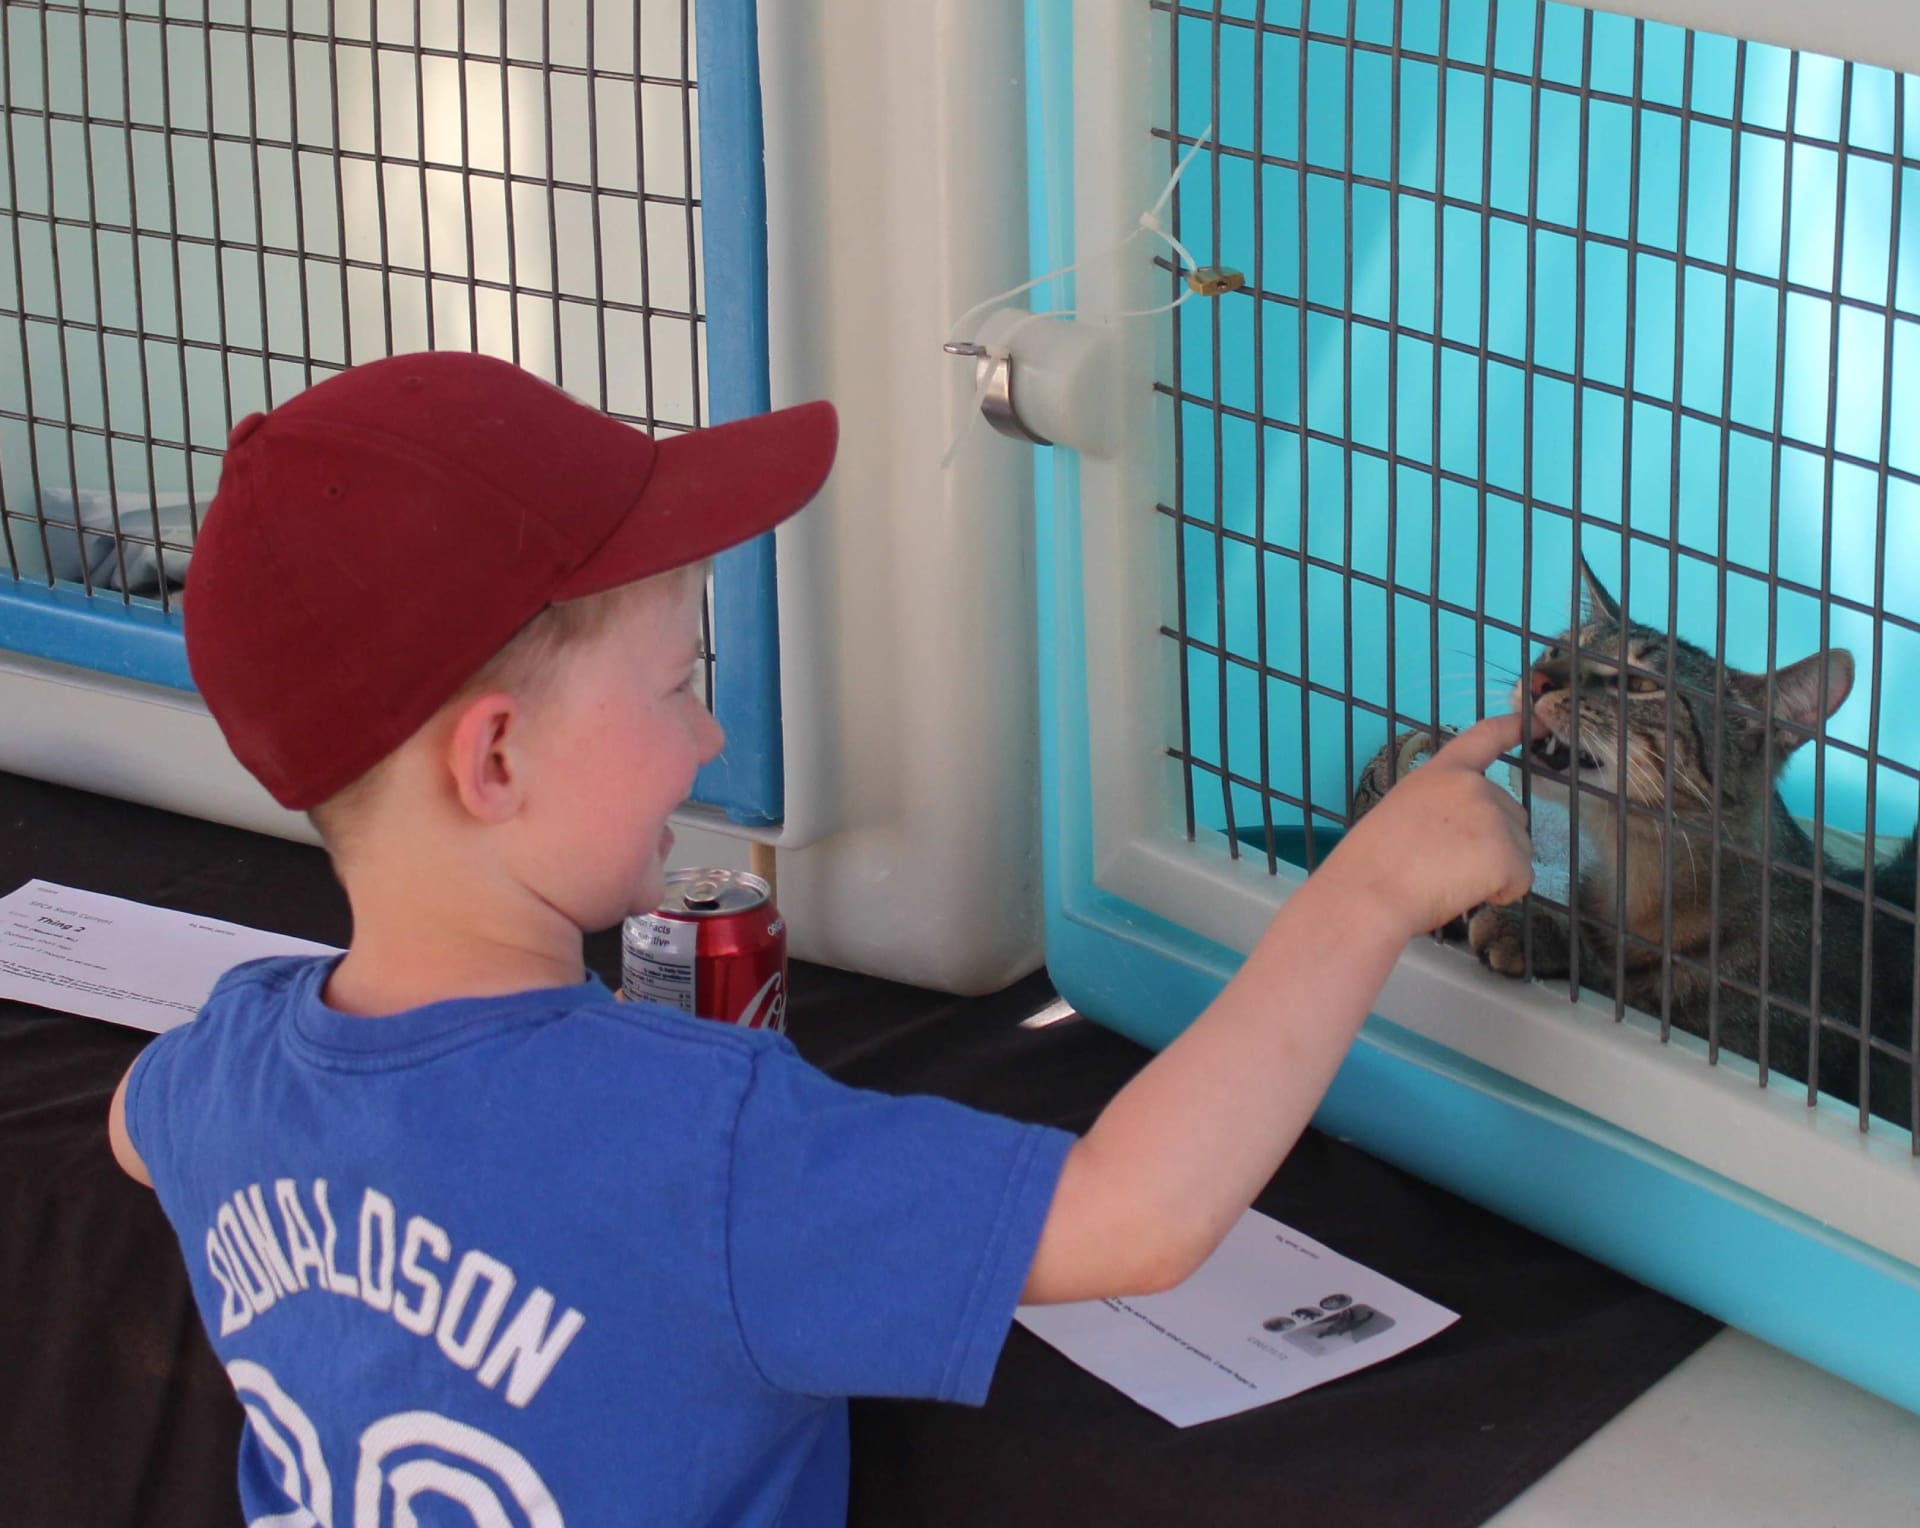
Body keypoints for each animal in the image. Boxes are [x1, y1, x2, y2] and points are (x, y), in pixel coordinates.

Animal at [1459, 556, 1912, 1121]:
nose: (1539, 678)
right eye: (1558, 648)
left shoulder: (1743, 1042)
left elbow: (1622, 991)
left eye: (1641, 684)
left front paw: (1536, 927)